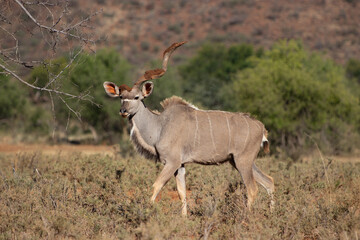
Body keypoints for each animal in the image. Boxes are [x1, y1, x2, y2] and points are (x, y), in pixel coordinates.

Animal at [104, 41, 276, 216]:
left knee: (253, 189)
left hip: (243, 161)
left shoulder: (171, 162)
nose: (123, 111)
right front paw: (184, 218)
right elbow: (182, 192)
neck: (160, 126)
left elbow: (156, 187)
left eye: (137, 97)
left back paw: (246, 217)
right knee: (269, 181)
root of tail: (261, 127)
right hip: (238, 161)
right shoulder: (180, 165)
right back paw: (271, 214)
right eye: (121, 97)